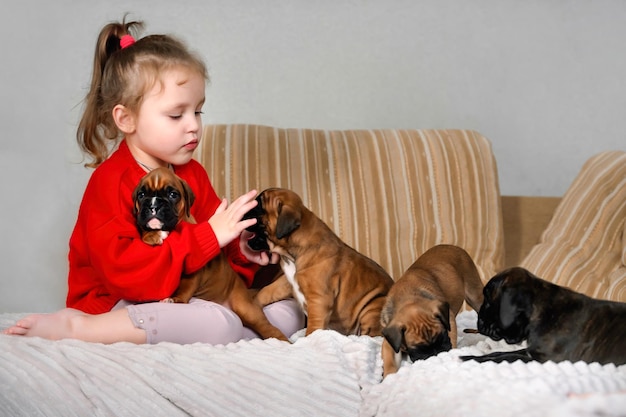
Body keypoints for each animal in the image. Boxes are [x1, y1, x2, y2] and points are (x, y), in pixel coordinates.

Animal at [133, 167, 288, 342]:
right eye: (142, 195)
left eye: (173, 194)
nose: (154, 205)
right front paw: (153, 235)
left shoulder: (193, 273)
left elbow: (185, 287)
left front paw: (176, 299)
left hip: (246, 310)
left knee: (270, 328)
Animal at [243, 187, 392, 336]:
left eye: (259, 206)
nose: (244, 211)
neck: (290, 255)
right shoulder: (288, 281)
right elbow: (267, 291)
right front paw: (254, 303)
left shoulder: (319, 299)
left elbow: (314, 326)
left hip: (373, 305)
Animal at [376, 244, 482, 376]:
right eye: (418, 349)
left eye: (443, 337)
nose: (436, 354)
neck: (408, 299)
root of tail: (453, 246)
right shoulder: (391, 342)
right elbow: (390, 360)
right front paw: (389, 377)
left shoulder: (449, 321)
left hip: (474, 293)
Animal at [458, 266, 624, 364]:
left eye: (487, 300)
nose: (479, 319)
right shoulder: (531, 351)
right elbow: (500, 353)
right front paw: (475, 356)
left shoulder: (546, 359)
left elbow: (507, 356)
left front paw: (470, 359)